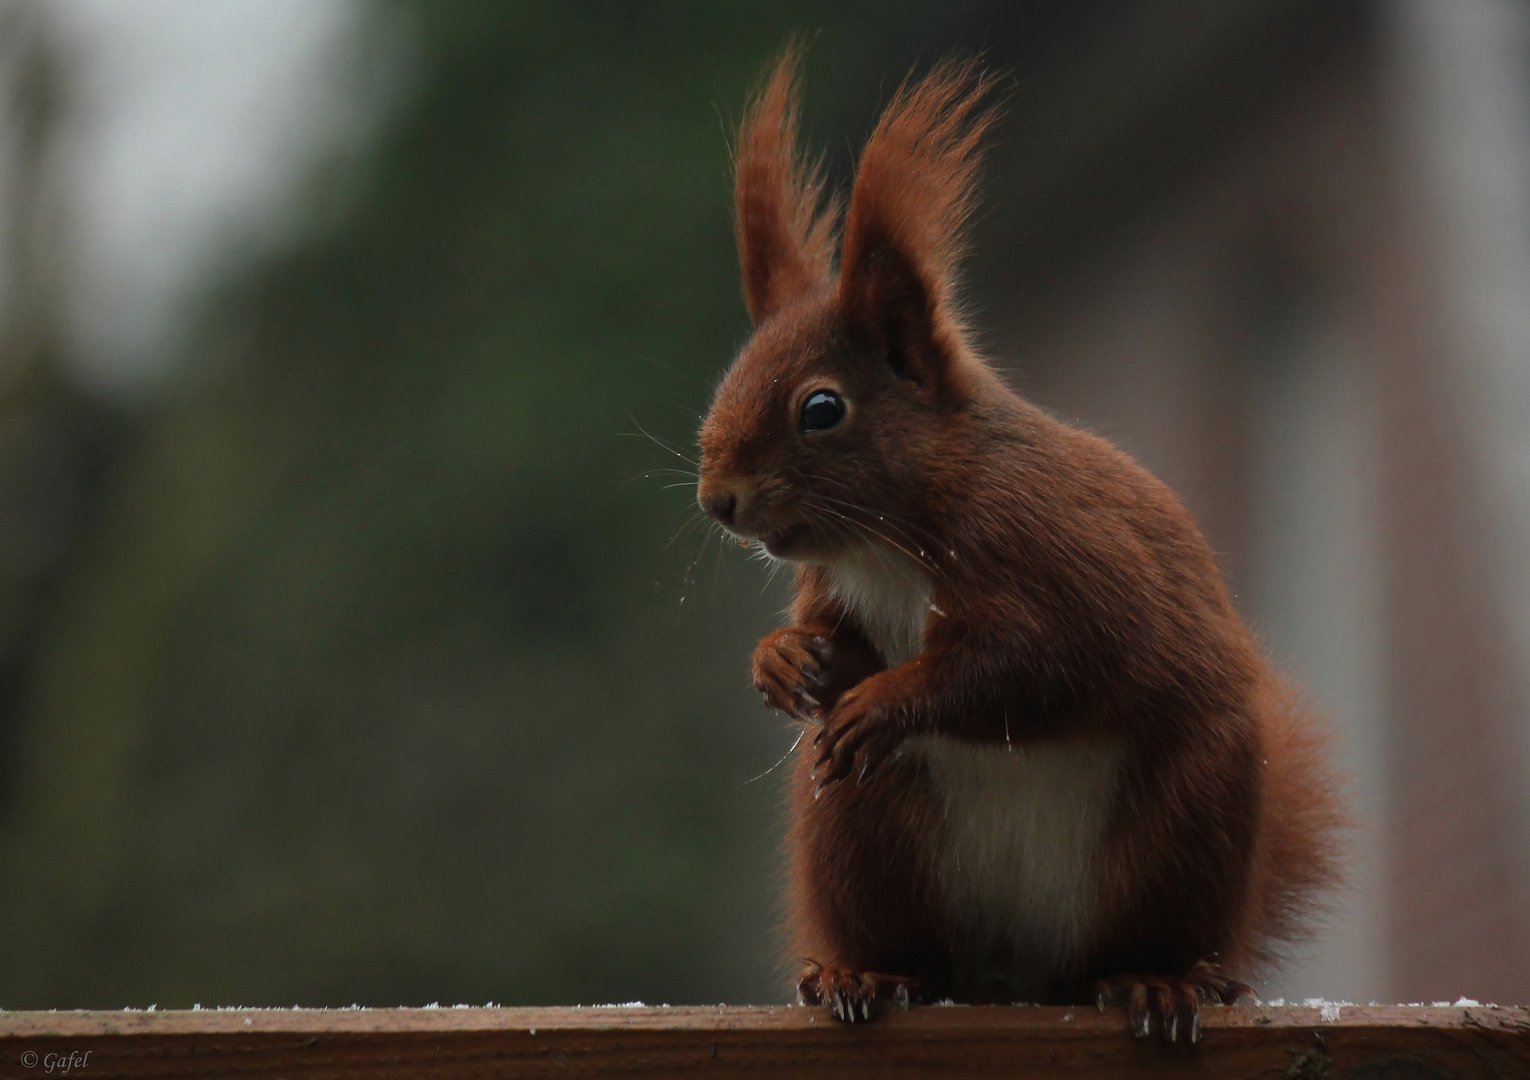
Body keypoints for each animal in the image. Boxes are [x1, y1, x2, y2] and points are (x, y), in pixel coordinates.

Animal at [694, 46, 1340, 1040]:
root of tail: (1020, 970)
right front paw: (784, 660)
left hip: (1184, 822)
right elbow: (835, 642)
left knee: (1143, 949)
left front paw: (886, 701)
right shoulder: (834, 585)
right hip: (862, 832)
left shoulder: (1051, 549)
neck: (891, 540)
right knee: (915, 950)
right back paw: (865, 974)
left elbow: (1039, 663)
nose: (717, 499)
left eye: (821, 408)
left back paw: (1163, 983)